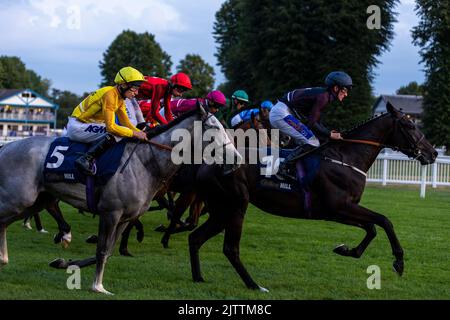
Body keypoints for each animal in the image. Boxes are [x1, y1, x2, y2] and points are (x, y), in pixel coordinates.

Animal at [0, 105, 239, 296]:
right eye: (215, 128)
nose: (236, 160)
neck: (145, 162)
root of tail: (7, 146)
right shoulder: (111, 213)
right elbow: (102, 249)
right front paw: (98, 286)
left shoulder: (125, 217)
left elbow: (109, 250)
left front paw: (62, 263)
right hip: (19, 198)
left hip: (35, 200)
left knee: (6, 222)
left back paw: (5, 257)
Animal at [188, 104, 438, 292]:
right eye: (409, 125)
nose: (433, 152)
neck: (346, 158)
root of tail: (206, 163)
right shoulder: (339, 207)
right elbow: (384, 221)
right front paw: (399, 261)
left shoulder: (337, 212)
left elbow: (372, 228)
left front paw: (346, 250)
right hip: (236, 207)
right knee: (230, 248)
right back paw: (255, 285)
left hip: (221, 209)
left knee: (195, 238)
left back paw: (199, 278)